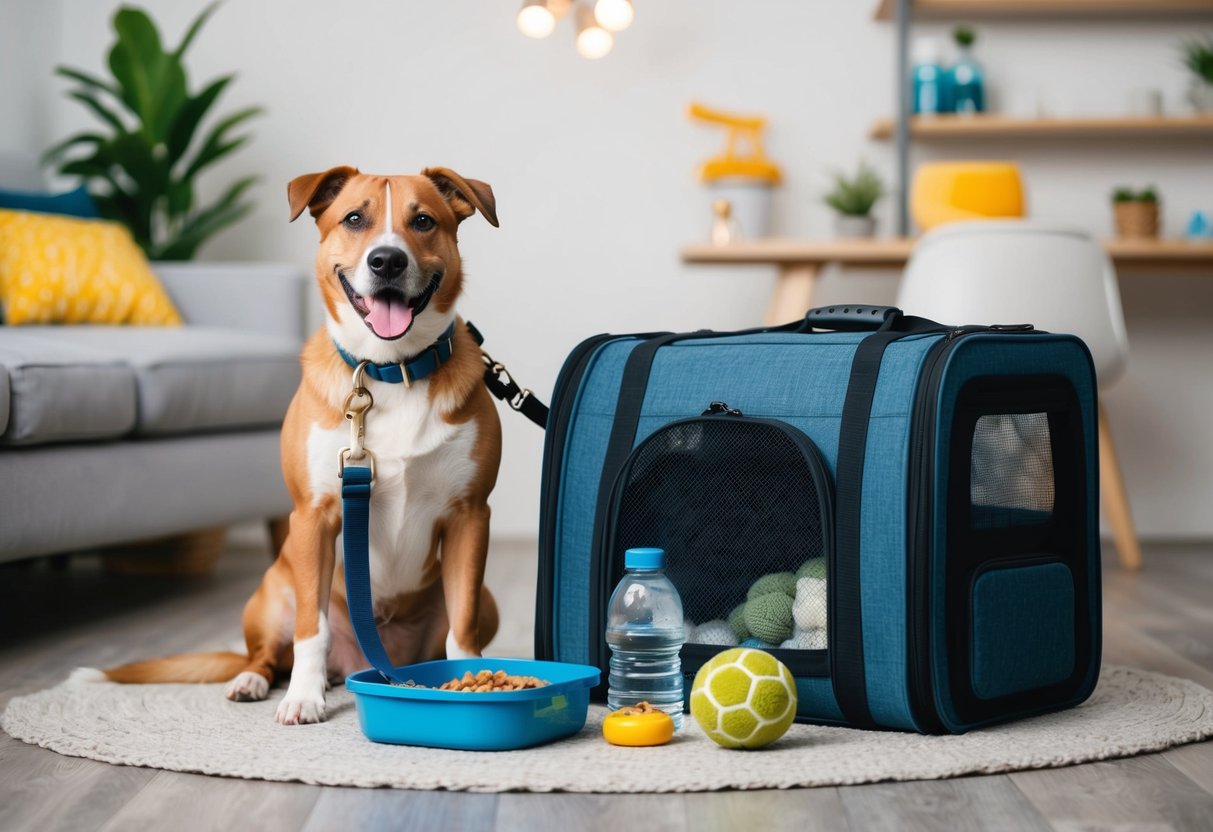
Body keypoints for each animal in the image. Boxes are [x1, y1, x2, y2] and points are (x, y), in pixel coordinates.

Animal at [94, 167, 502, 722]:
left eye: (423, 221)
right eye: (354, 219)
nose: (387, 260)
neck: (390, 369)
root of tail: (375, 662)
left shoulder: (469, 516)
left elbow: (462, 630)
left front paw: (470, 684)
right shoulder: (315, 516)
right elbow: (313, 631)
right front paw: (304, 697)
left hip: (487, 601)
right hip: (271, 592)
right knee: (269, 654)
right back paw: (257, 680)